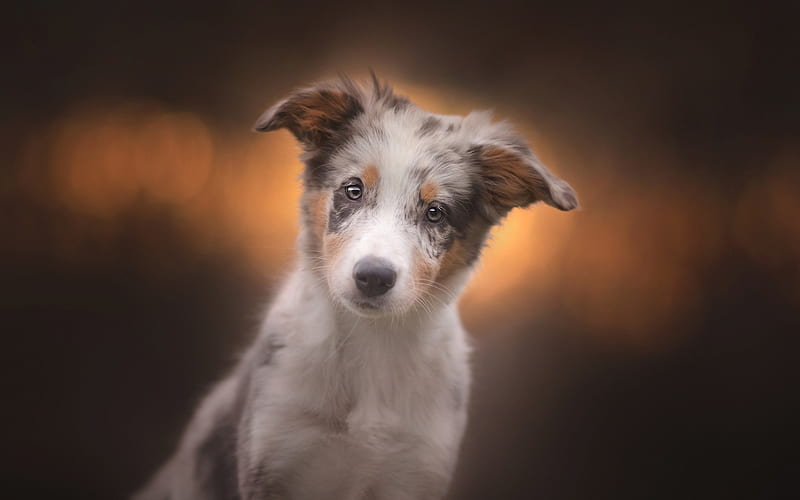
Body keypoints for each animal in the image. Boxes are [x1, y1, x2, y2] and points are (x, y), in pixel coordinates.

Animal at [134, 75, 580, 500]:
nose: (373, 277)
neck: (372, 343)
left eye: (435, 213)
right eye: (353, 189)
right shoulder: (275, 452)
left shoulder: (416, 470)